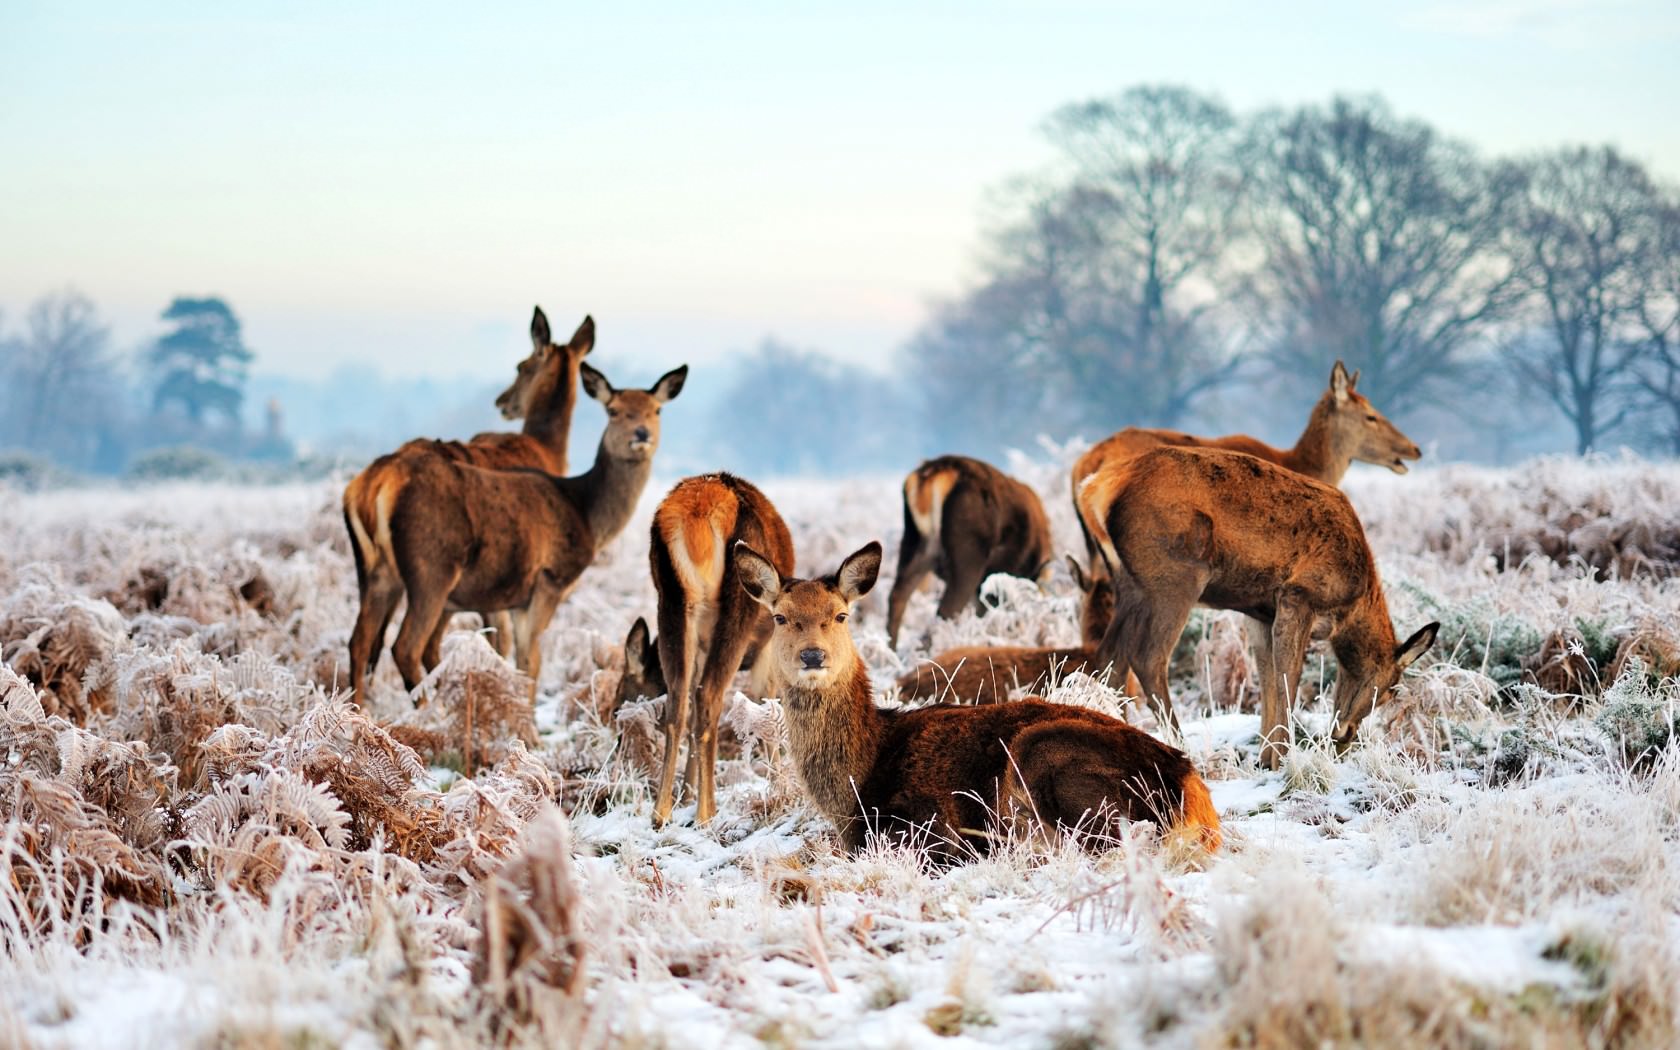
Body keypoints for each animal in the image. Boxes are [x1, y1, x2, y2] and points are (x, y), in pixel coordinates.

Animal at [348, 361, 686, 703]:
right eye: (613, 410)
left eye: (656, 410)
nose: (641, 434)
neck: (586, 515)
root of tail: (377, 482)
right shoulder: (549, 580)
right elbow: (531, 659)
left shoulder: (515, 599)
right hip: (431, 568)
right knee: (405, 646)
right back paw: (431, 710)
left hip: (377, 571)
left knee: (360, 640)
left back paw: (358, 709)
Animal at [644, 473, 794, 826]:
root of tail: (698, 514)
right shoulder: (769, 645)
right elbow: (768, 706)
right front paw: (782, 790)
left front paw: (687, 792)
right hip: (739, 604)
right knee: (708, 695)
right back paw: (706, 812)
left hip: (672, 603)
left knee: (679, 701)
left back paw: (662, 812)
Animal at [1077, 445, 1440, 768]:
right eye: (1391, 690)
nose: (1344, 735)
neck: (1353, 604)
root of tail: (1096, 489)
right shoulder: (1298, 594)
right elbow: (1288, 678)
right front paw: (1283, 758)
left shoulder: (1259, 612)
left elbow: (1266, 677)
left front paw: (1266, 757)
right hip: (1175, 576)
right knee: (1147, 657)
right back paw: (1182, 748)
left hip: (1127, 580)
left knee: (1111, 656)